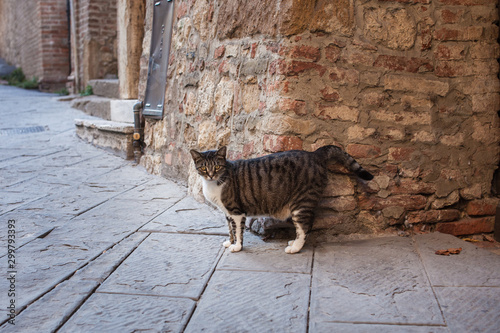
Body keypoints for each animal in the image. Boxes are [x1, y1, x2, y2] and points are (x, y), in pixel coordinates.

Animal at [189, 144, 374, 253]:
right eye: (204, 168)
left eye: (217, 167)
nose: (211, 175)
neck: (214, 183)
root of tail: (314, 154)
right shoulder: (226, 212)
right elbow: (230, 229)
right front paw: (230, 242)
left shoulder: (236, 211)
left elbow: (238, 230)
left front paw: (237, 247)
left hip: (301, 202)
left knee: (305, 226)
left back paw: (296, 247)